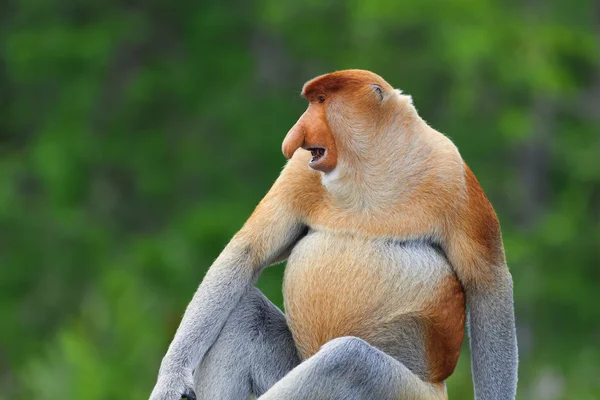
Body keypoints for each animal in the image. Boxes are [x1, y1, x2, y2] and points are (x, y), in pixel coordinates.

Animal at [149, 69, 516, 400]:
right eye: (313, 101)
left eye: (322, 101)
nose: (293, 139)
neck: (369, 167)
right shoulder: (299, 172)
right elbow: (247, 252)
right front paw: (171, 380)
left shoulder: (453, 174)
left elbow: (488, 282)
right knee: (245, 312)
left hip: (408, 392)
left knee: (347, 360)